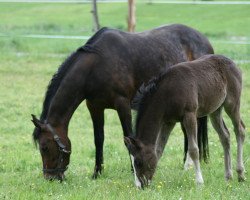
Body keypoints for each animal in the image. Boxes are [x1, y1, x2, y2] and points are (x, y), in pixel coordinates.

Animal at [30, 23, 214, 180]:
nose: (50, 177)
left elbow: (128, 137)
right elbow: (98, 139)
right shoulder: (94, 106)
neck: (96, 65)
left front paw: (134, 171)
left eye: (44, 147)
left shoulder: (123, 104)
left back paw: (187, 165)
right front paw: (97, 172)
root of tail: (204, 40)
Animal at [126, 54, 245, 188]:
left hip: (232, 103)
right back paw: (228, 176)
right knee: (225, 136)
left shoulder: (190, 115)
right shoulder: (168, 122)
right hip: (215, 111)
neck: (168, 93)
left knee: (240, 130)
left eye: (138, 162)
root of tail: (233, 63)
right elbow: (159, 150)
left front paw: (199, 182)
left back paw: (240, 174)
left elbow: (193, 150)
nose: (140, 186)